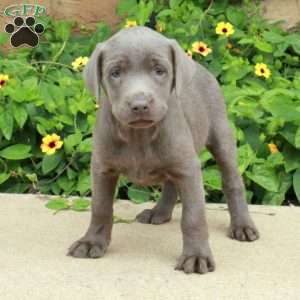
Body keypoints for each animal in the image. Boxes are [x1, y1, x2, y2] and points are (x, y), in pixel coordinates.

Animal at [67, 26, 258, 274]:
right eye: (115, 73)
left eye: (159, 71)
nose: (139, 105)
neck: (138, 135)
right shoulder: (102, 168)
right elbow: (100, 207)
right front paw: (91, 242)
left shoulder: (189, 169)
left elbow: (193, 216)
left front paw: (196, 255)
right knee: (170, 183)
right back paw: (159, 212)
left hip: (221, 136)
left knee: (232, 181)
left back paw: (242, 225)